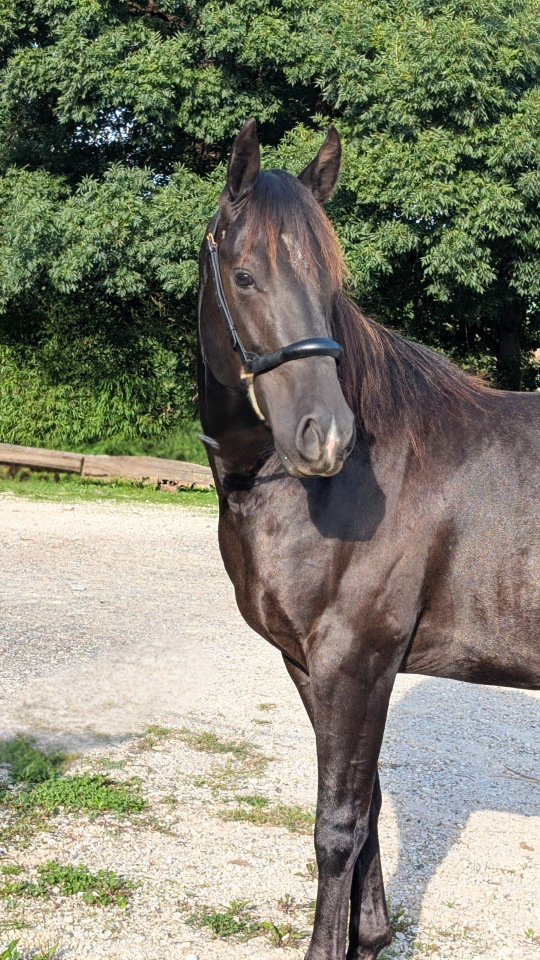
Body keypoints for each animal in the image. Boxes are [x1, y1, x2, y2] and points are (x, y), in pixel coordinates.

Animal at [197, 118, 539, 960]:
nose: (324, 437)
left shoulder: (356, 662)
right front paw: (373, 934)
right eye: (245, 276)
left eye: (331, 285)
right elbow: (369, 801)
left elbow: (338, 825)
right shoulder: (314, 665)